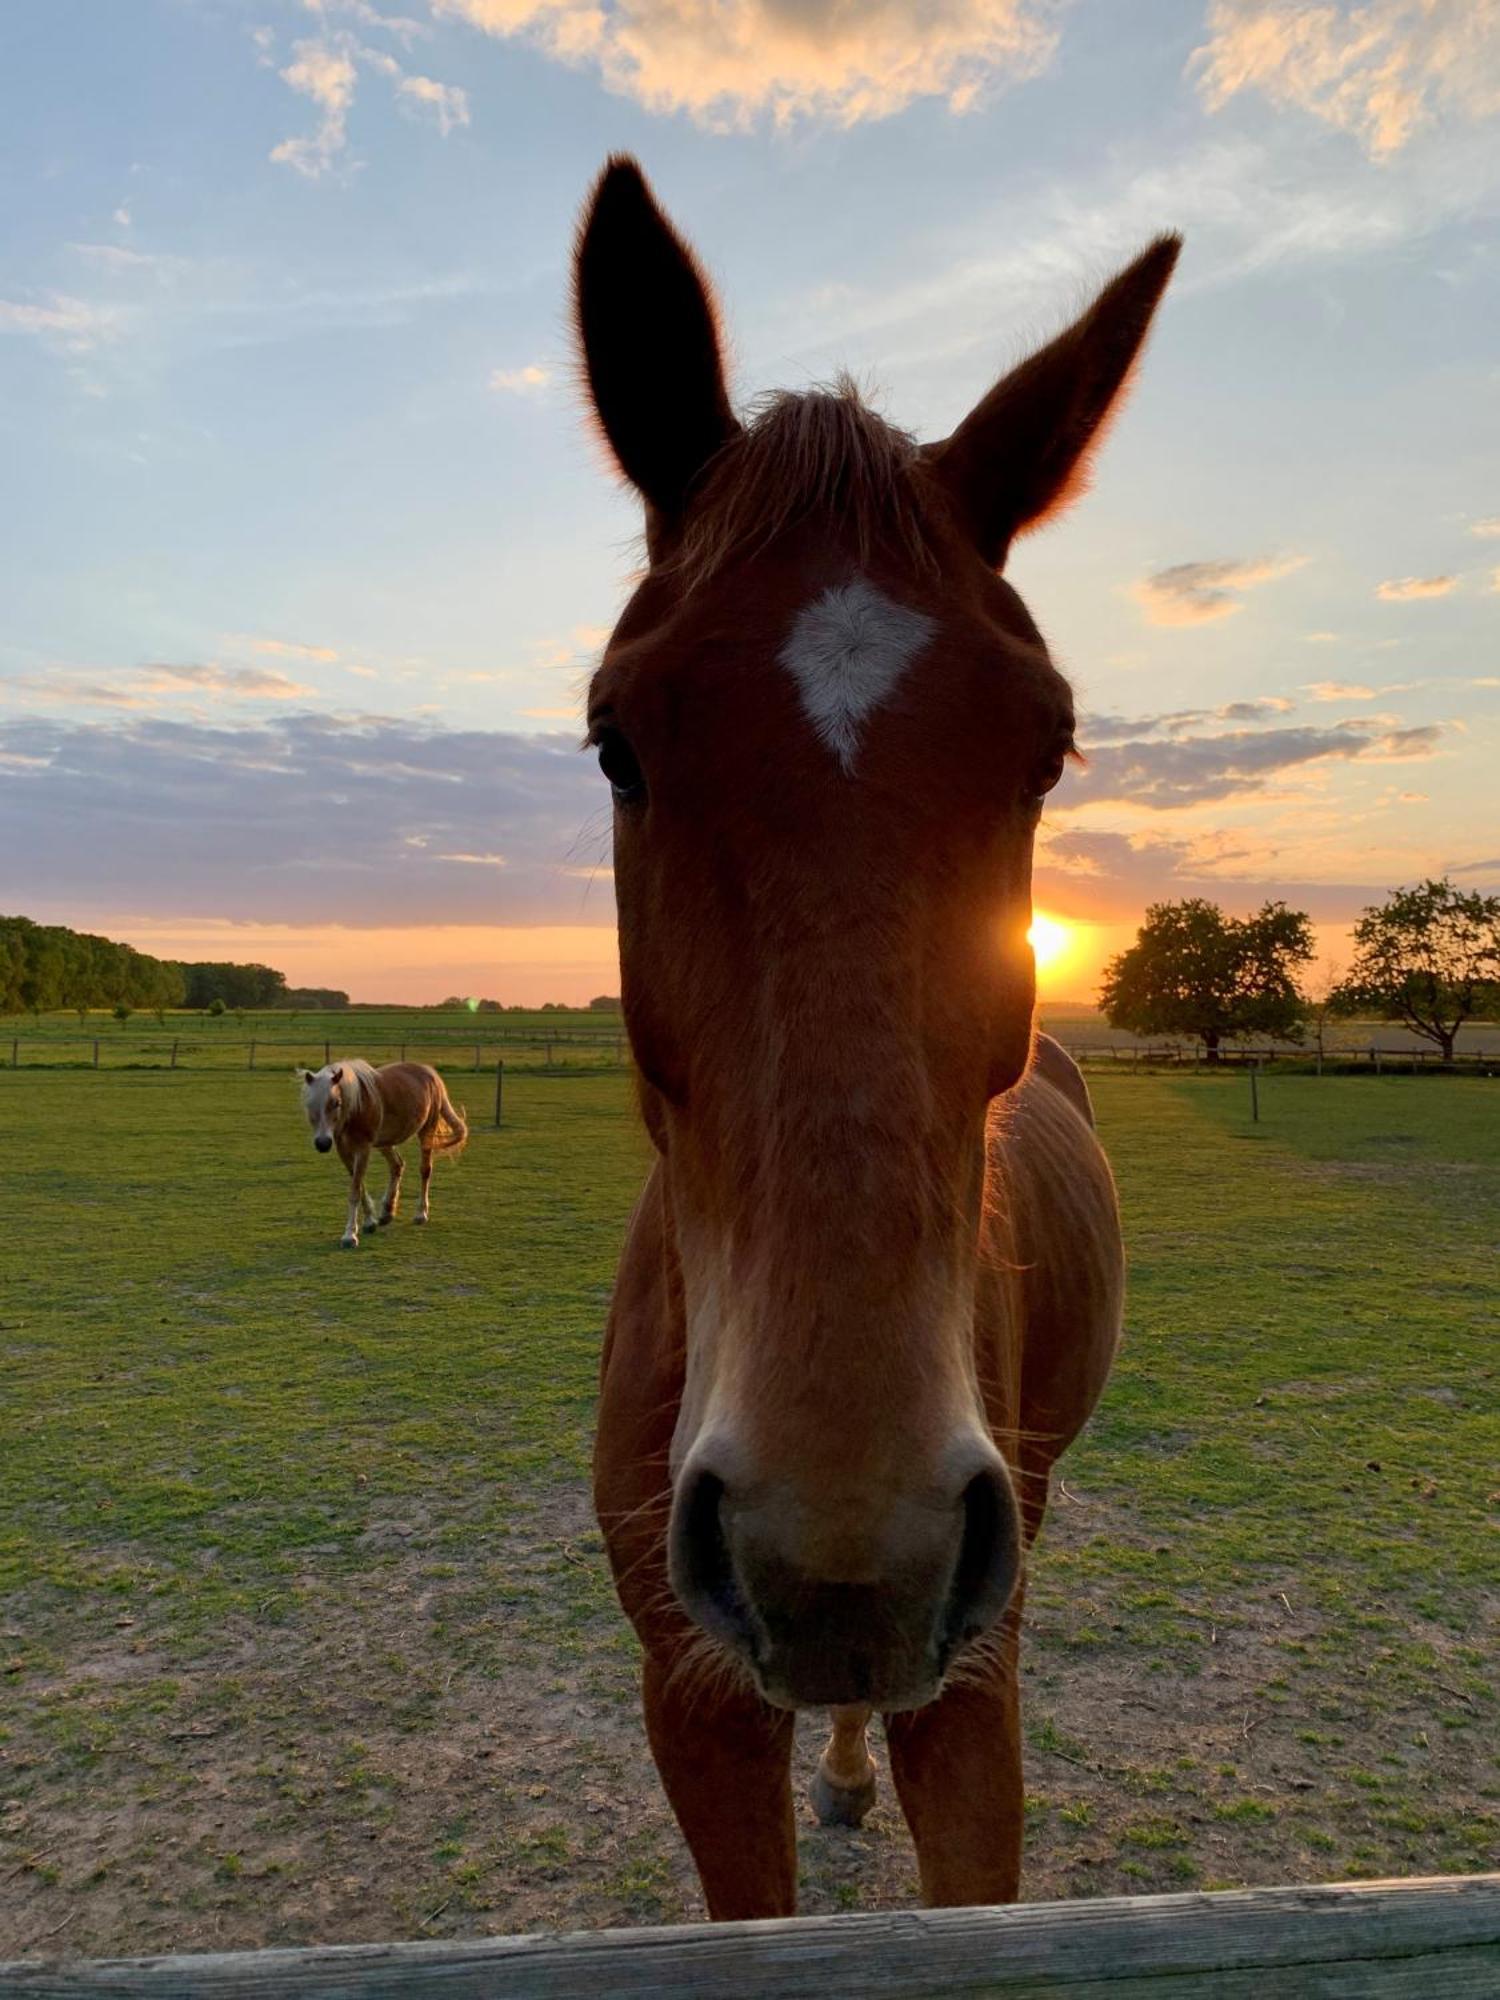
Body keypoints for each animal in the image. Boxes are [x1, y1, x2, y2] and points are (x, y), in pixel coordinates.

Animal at [296, 1056, 468, 1240]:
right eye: (309, 1104)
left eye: (336, 1103)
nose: (322, 1143)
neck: (357, 1105)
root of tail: (429, 1072)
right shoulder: (344, 1150)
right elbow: (359, 1185)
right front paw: (369, 1222)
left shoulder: (363, 1148)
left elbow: (355, 1190)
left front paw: (350, 1235)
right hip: (385, 1141)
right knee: (397, 1165)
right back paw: (387, 1211)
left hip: (427, 1131)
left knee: (425, 1170)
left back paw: (421, 1213)